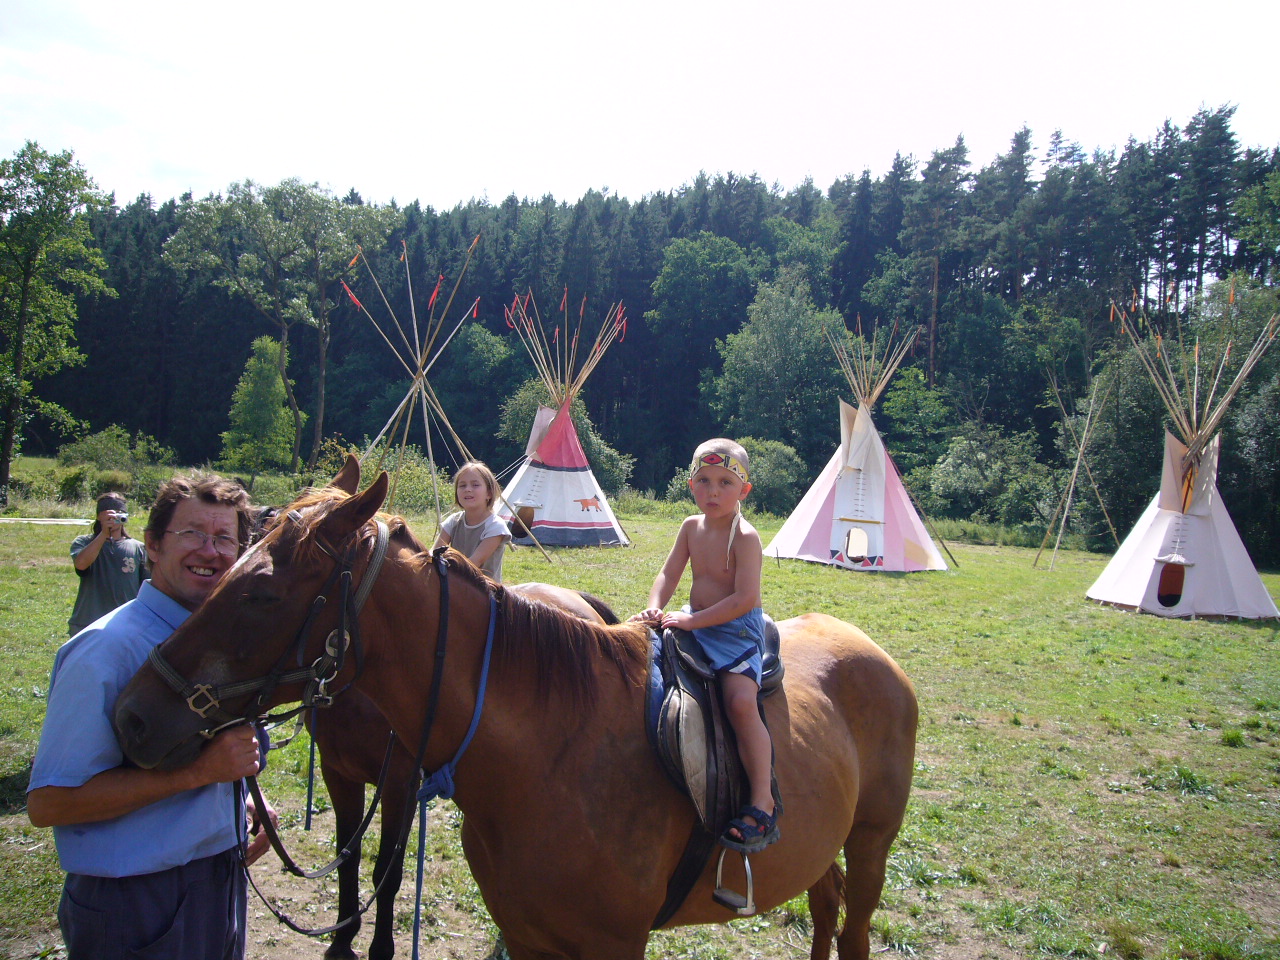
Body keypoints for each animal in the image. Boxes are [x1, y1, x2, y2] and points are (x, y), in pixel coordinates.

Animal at [114, 457, 918, 960]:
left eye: (259, 592)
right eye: (231, 559)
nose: (131, 715)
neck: (548, 752)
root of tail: (869, 649)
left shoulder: (611, 944)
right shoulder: (530, 934)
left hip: (873, 841)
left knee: (853, 925)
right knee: (824, 902)